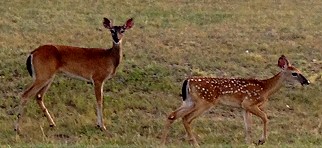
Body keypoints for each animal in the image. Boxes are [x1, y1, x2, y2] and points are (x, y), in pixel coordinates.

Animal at [162, 55, 310, 146]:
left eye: (300, 71)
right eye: (295, 73)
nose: (307, 81)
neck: (265, 88)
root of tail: (188, 80)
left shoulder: (244, 107)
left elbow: (248, 127)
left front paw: (249, 143)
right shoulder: (250, 102)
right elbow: (265, 117)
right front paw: (261, 140)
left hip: (189, 101)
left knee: (173, 115)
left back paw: (163, 141)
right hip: (205, 101)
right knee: (186, 118)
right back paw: (196, 144)